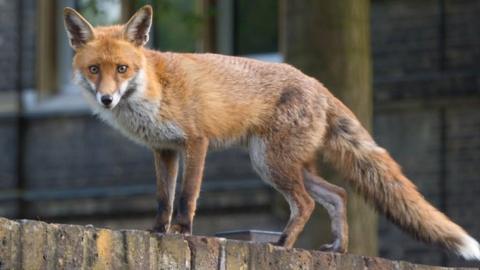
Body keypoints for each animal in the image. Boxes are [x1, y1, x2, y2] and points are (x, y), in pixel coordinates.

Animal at [64, 4, 480, 260]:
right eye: (94, 70)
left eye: (122, 69)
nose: (106, 99)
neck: (153, 90)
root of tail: (319, 84)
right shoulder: (164, 149)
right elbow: (162, 199)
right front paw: (156, 233)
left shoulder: (196, 141)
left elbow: (186, 197)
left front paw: (181, 233)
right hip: (282, 164)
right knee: (338, 194)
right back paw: (338, 248)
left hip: (270, 163)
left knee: (307, 204)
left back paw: (283, 244)